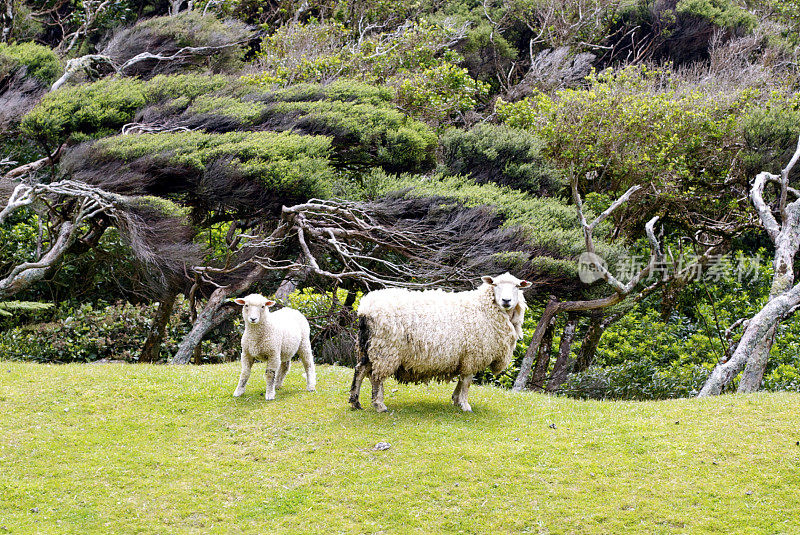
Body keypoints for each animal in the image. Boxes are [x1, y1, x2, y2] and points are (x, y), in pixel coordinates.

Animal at [350, 274, 532, 412]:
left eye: (517, 286)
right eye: (495, 284)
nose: (506, 300)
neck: (485, 308)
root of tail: (365, 308)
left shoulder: (464, 358)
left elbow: (461, 381)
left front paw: (456, 400)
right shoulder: (472, 356)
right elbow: (467, 381)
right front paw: (465, 405)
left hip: (369, 347)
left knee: (360, 370)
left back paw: (355, 401)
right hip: (385, 349)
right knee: (376, 377)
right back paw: (379, 405)